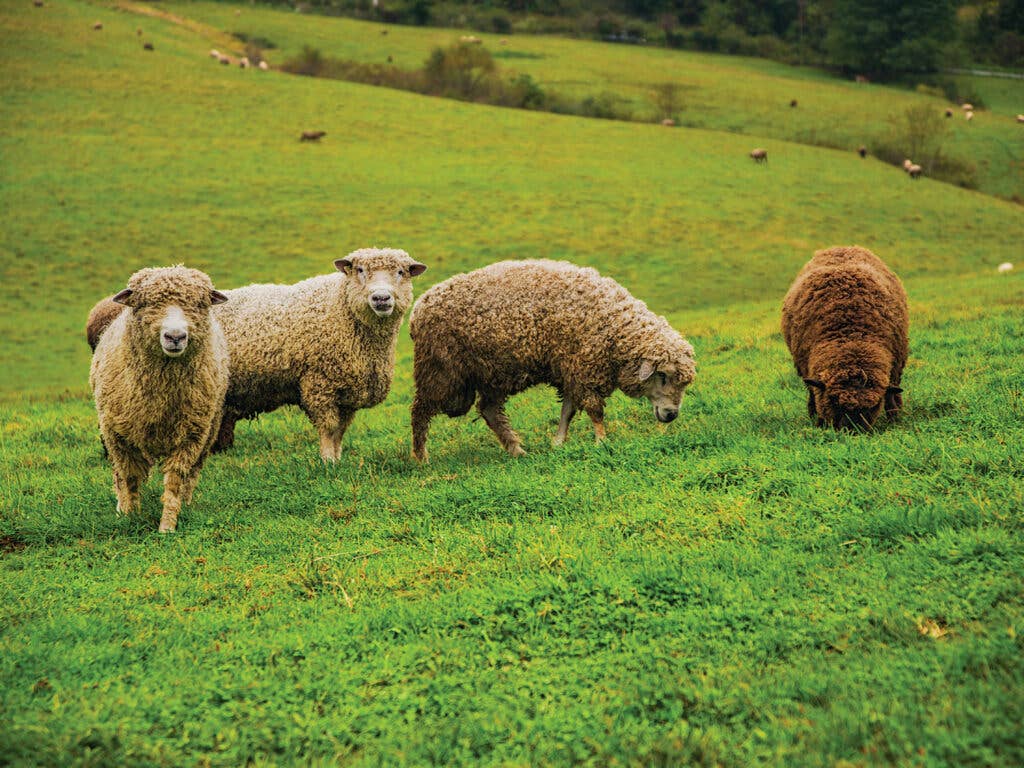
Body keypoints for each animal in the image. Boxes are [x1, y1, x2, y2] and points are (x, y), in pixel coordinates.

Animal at [89, 268, 228, 532]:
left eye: (199, 304)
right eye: (146, 303)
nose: (175, 336)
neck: (162, 396)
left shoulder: (191, 436)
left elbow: (175, 481)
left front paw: (167, 526)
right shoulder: (118, 436)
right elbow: (130, 477)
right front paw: (131, 516)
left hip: (209, 431)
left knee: (192, 476)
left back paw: (187, 504)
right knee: (118, 475)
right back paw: (120, 507)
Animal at [407, 259, 696, 462]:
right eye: (662, 375)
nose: (671, 415)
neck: (614, 325)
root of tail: (419, 307)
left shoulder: (571, 369)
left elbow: (568, 410)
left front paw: (558, 443)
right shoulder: (584, 369)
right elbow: (595, 410)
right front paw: (602, 442)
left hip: (492, 373)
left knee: (489, 411)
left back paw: (517, 450)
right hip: (441, 371)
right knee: (420, 411)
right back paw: (421, 457)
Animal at [778, 244, 909, 430]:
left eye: (874, 406)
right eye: (834, 402)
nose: (854, 432)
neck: (851, 334)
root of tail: (842, 247)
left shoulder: (896, 368)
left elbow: (891, 397)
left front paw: (895, 421)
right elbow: (814, 394)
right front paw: (819, 423)